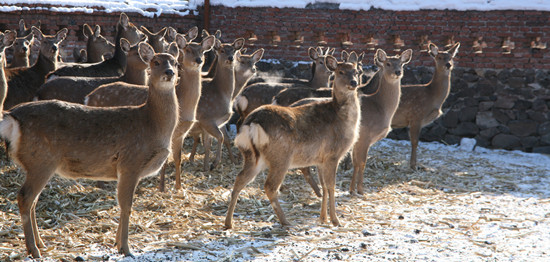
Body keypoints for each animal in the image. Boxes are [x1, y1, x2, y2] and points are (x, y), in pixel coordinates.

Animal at [0, 41, 181, 258]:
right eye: (156, 62)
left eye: (176, 62)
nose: (170, 72)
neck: (153, 125)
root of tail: (11, 117)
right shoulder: (130, 162)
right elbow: (126, 205)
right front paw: (126, 248)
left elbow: (122, 205)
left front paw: (116, 243)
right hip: (41, 159)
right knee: (25, 197)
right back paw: (34, 250)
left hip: (37, 162)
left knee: (32, 200)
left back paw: (40, 243)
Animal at [224, 54, 362, 229]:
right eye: (340, 71)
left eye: (356, 71)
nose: (354, 82)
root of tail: (253, 123)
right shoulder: (332, 154)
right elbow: (331, 186)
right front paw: (335, 220)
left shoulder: (320, 159)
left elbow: (324, 186)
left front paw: (323, 218)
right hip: (281, 156)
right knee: (269, 186)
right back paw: (286, 222)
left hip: (252, 155)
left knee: (239, 179)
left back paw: (228, 223)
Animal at [350, 48, 414, 194]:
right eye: (388, 63)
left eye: (401, 64)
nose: (398, 72)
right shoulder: (365, 134)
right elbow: (362, 162)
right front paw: (361, 190)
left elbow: (355, 162)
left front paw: (351, 190)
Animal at [392, 42, 462, 170]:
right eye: (439, 57)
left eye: (451, 57)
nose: (448, 64)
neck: (431, 96)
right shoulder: (416, 116)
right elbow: (415, 142)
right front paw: (413, 166)